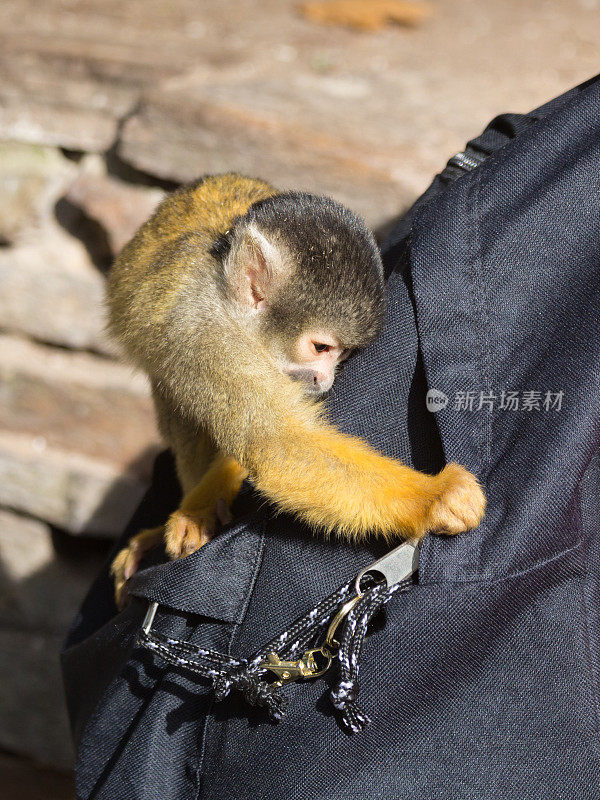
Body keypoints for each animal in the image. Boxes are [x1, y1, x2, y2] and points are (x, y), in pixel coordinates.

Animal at [106, 173, 482, 600]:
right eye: (321, 348)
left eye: (342, 354)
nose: (327, 379)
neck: (227, 301)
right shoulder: (204, 335)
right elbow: (276, 444)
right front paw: (435, 497)